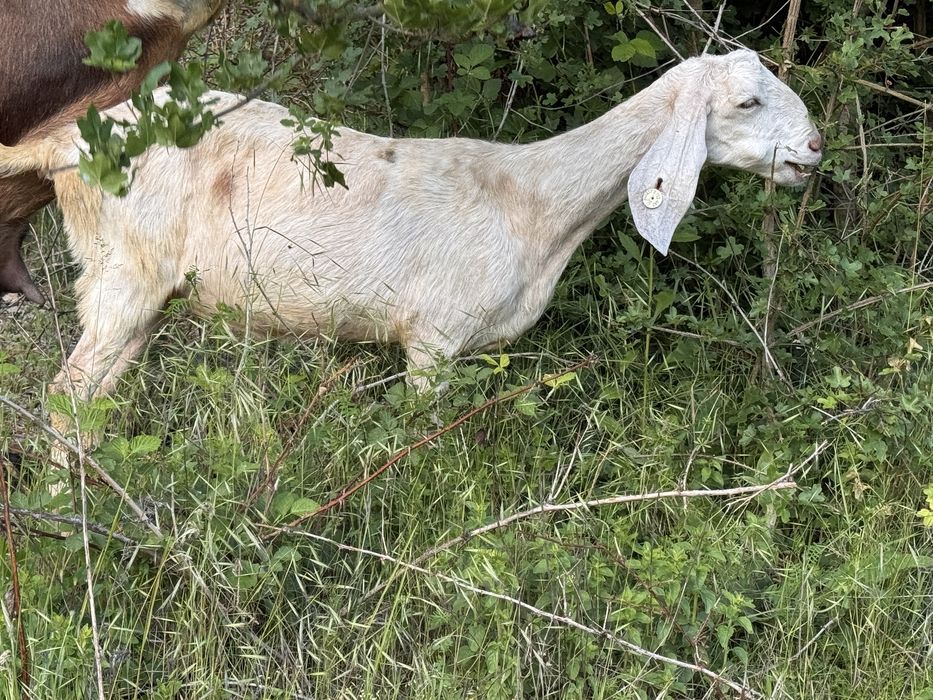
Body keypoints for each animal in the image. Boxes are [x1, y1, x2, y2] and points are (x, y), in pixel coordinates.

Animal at [0, 49, 821, 418]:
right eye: (746, 101)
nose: (813, 150)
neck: (532, 200)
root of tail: (61, 142)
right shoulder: (433, 338)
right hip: (122, 273)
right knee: (63, 401)